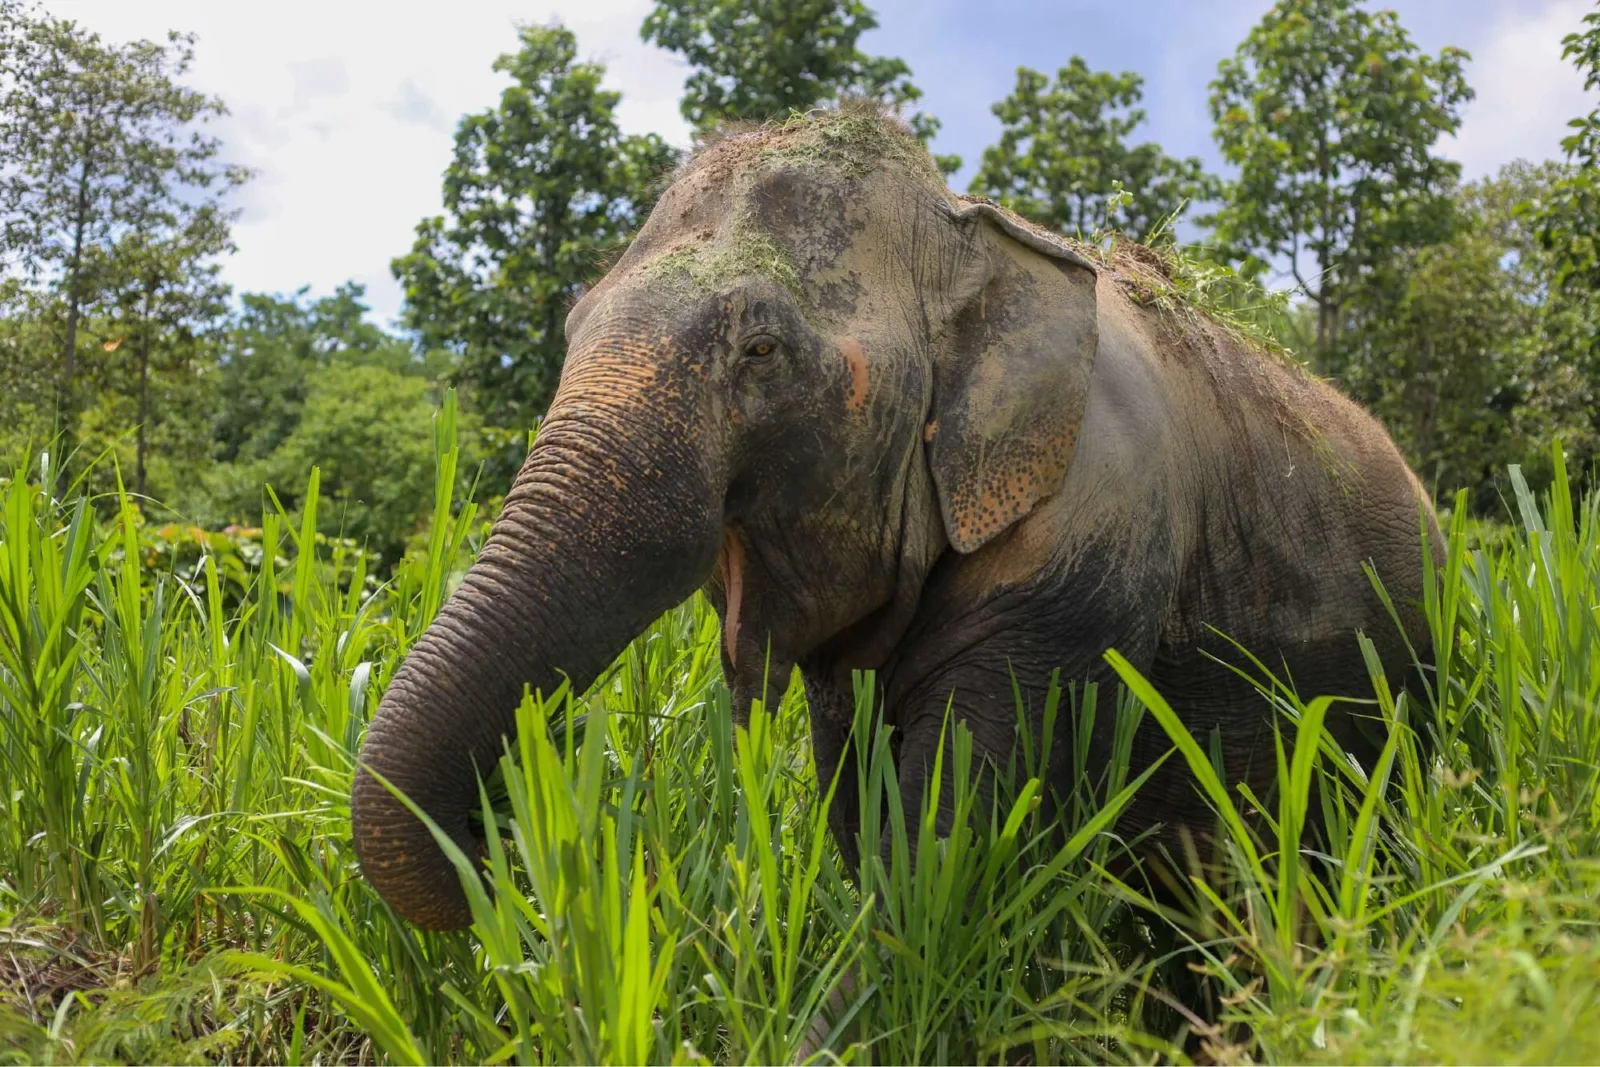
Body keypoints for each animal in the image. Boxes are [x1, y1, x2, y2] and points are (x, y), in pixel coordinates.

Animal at [350, 105, 1443, 931]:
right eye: (572, 326)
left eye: (761, 350)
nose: (508, 812)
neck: (970, 224)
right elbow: (865, 825)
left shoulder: (1083, 559)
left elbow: (940, 858)